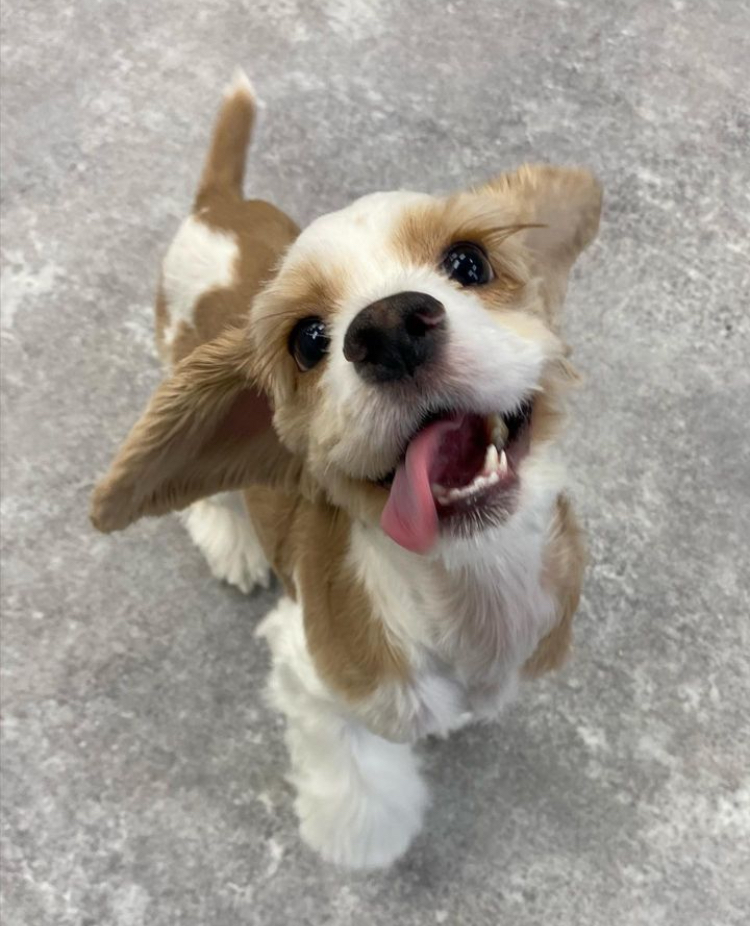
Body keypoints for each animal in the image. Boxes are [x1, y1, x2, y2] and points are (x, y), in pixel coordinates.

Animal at [91, 69, 602, 869]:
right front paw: (362, 838)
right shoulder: (310, 671)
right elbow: (356, 778)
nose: (388, 328)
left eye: (469, 263)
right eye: (307, 340)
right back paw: (231, 538)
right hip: (171, 360)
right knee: (206, 494)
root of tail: (216, 206)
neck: (472, 587)